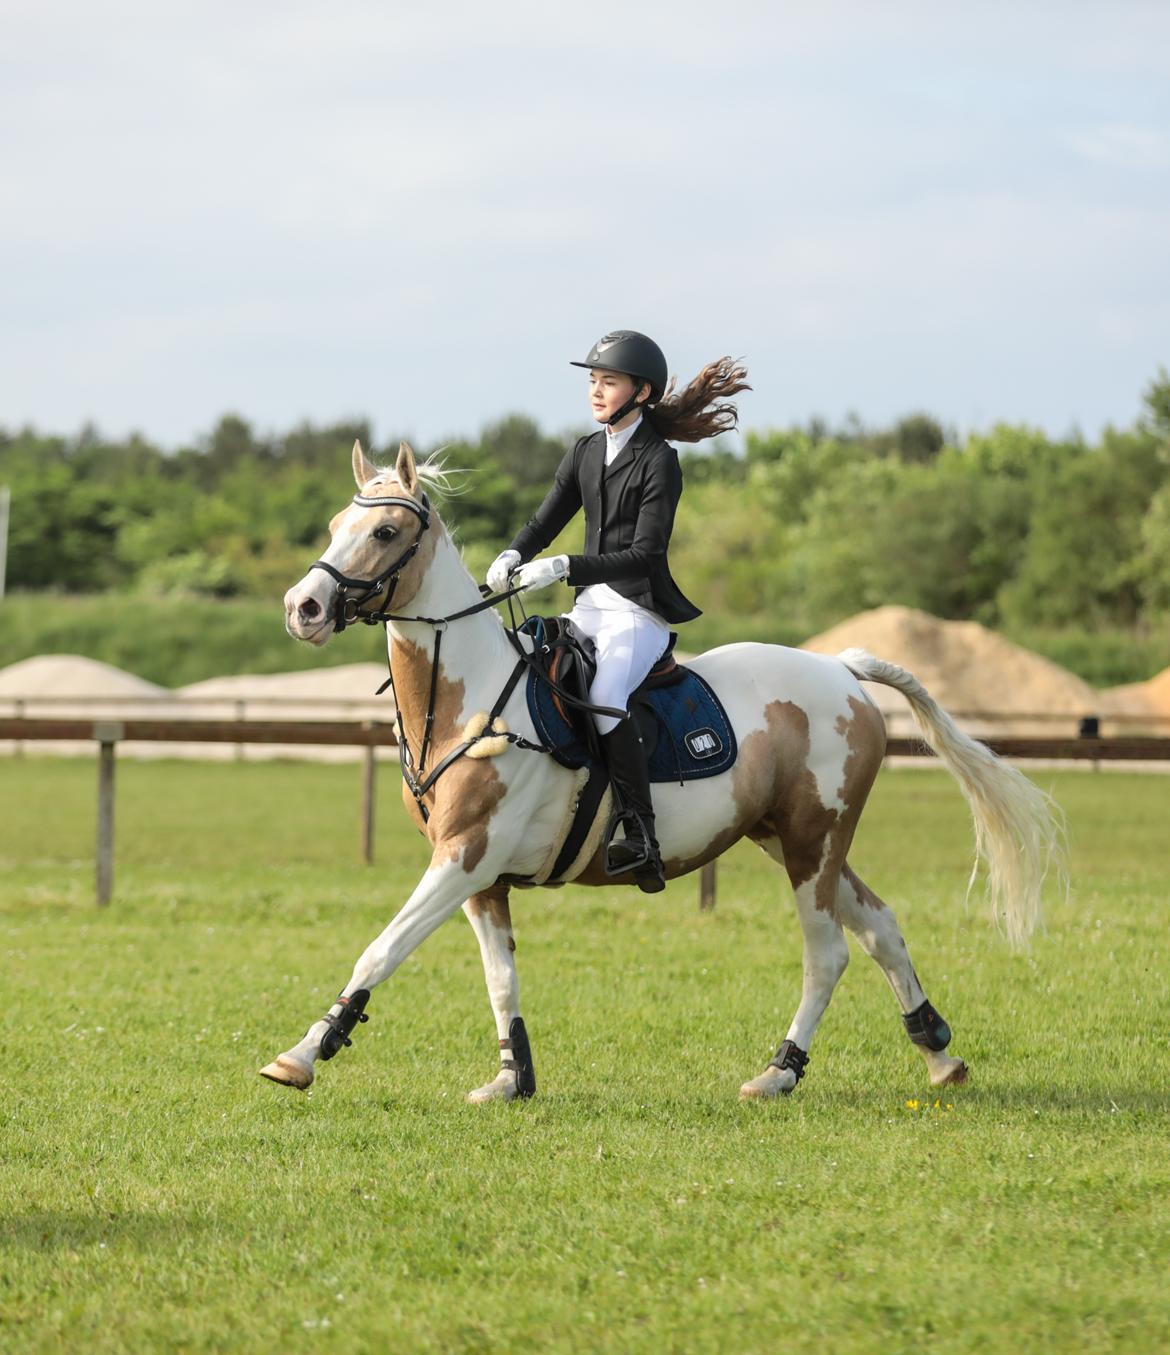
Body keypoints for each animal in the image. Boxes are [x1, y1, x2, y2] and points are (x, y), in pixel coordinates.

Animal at [263, 444, 1062, 1100]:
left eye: (384, 534)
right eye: (335, 522)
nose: (303, 607)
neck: (472, 698)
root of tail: (842, 668)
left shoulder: (465, 857)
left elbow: (381, 949)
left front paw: (304, 1053)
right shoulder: (480, 878)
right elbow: (500, 978)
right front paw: (511, 1079)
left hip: (813, 842)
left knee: (828, 951)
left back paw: (779, 1071)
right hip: (790, 837)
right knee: (881, 928)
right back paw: (938, 1054)